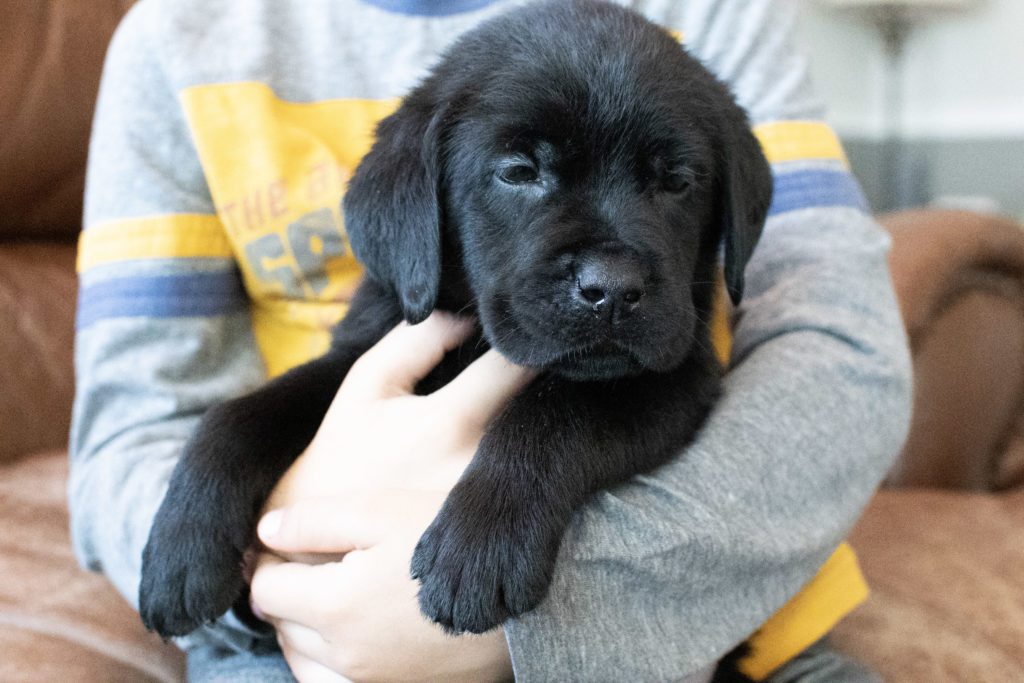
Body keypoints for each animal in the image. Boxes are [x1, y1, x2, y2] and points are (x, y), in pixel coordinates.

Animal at [140, 0, 770, 647]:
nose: (612, 289)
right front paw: (180, 552)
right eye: (518, 172)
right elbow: (237, 414)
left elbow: (556, 413)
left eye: (677, 181)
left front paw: (480, 542)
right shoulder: (361, 351)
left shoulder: (675, 376)